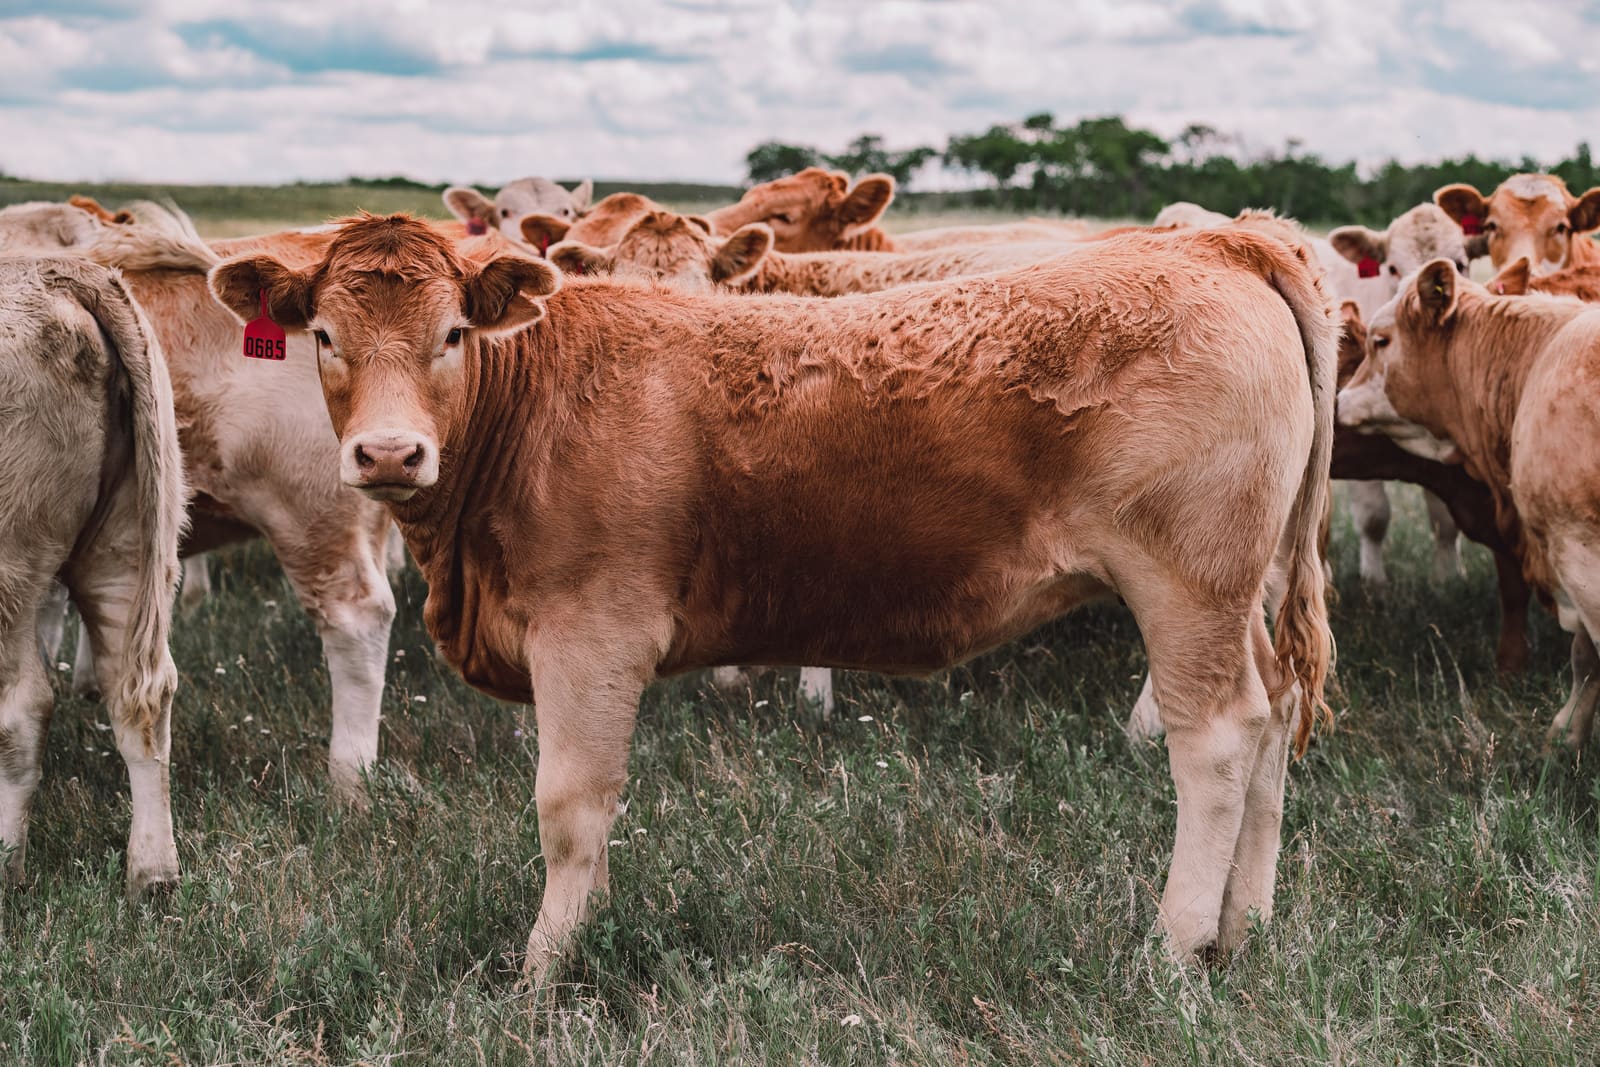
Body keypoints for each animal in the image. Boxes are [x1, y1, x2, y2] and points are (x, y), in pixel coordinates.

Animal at [0, 257, 186, 896]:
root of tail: (64, 271)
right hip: (129, 541)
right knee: (141, 695)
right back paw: (153, 873)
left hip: (9, 561)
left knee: (22, 706)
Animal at [210, 212, 1334, 979]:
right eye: (323, 336)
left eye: (451, 332)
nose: (388, 452)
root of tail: (1220, 242)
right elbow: (599, 810)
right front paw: (594, 930)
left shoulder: (591, 633)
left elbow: (570, 801)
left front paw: (544, 964)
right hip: (1245, 592)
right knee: (1275, 718)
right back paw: (1247, 927)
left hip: (1188, 585)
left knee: (1218, 739)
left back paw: (1176, 944)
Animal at [1338, 260, 1600, 748]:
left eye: (1379, 341)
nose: (1338, 400)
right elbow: (1582, 651)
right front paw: (1568, 734)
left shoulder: (1576, 549)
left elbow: (1584, 652)